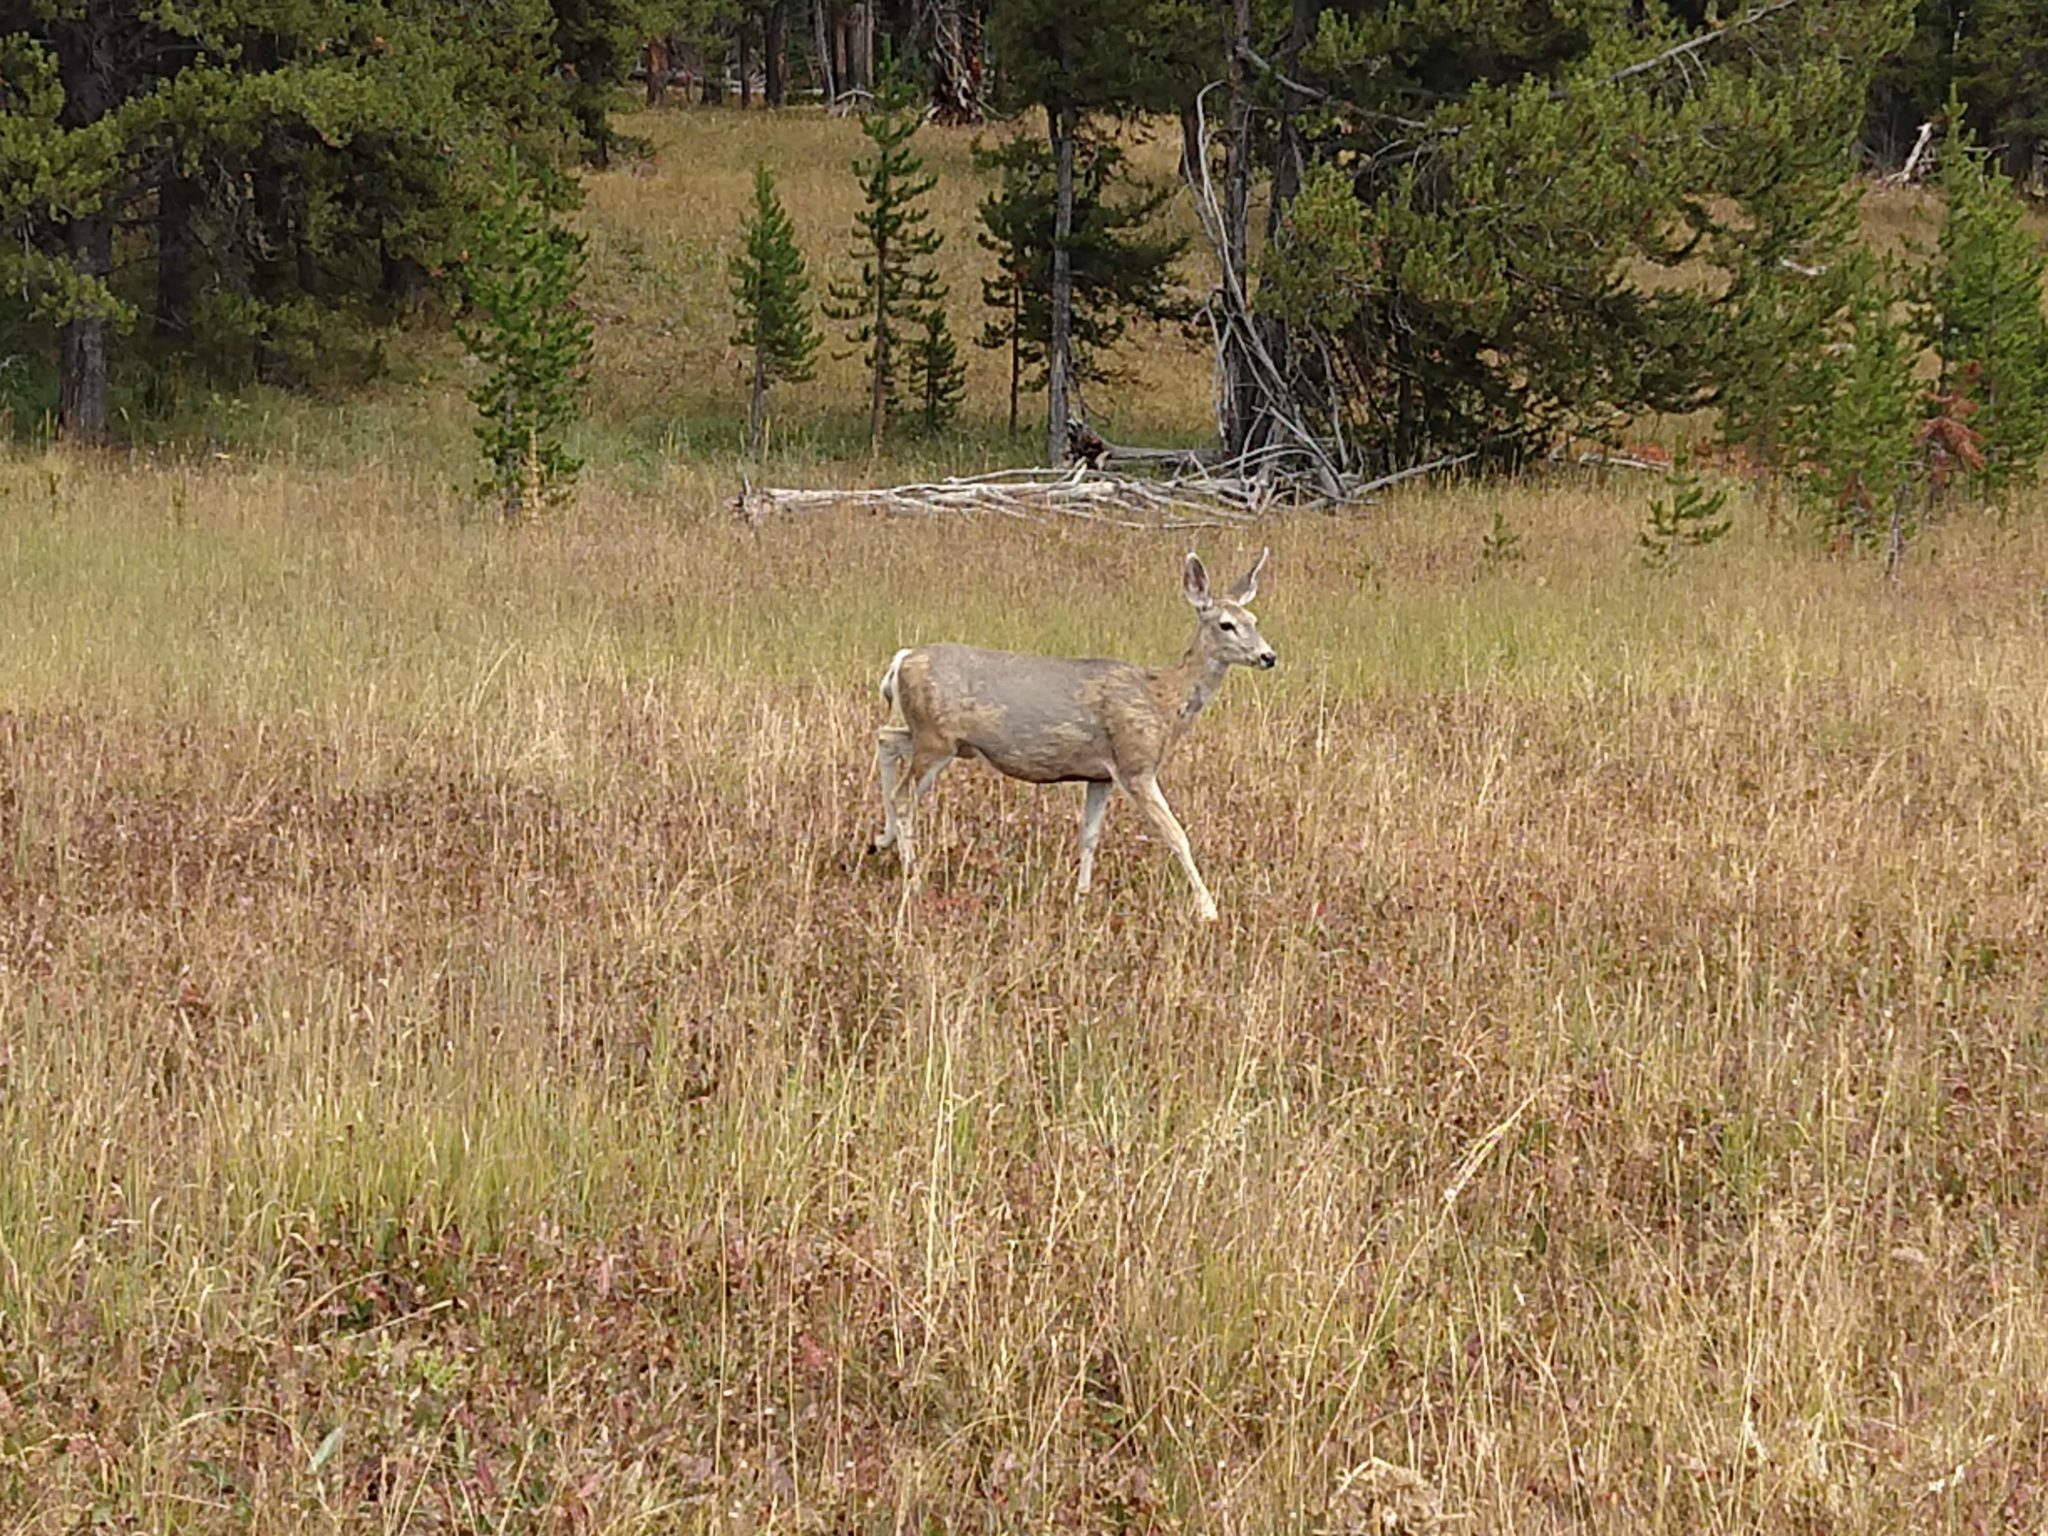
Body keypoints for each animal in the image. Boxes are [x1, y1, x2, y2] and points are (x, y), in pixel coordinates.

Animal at [868, 548, 1277, 921]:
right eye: (1226, 624)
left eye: (1255, 619)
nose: (1269, 656)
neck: (1161, 700)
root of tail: (901, 660)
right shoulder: (1135, 763)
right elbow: (1177, 835)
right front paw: (1208, 909)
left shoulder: (1100, 774)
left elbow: (1090, 836)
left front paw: (1081, 899)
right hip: (936, 739)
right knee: (902, 794)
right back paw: (913, 878)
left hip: (936, 737)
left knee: (885, 738)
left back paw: (880, 839)